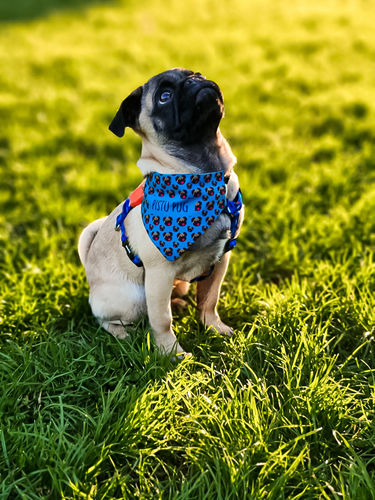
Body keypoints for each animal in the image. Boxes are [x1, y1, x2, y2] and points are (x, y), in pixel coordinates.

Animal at [78, 69, 245, 356]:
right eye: (164, 97)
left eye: (197, 74)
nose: (195, 82)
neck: (205, 174)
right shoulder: (159, 274)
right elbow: (162, 319)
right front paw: (171, 353)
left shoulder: (221, 259)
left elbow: (209, 300)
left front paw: (214, 328)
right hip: (134, 297)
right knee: (107, 320)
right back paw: (125, 335)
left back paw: (178, 302)